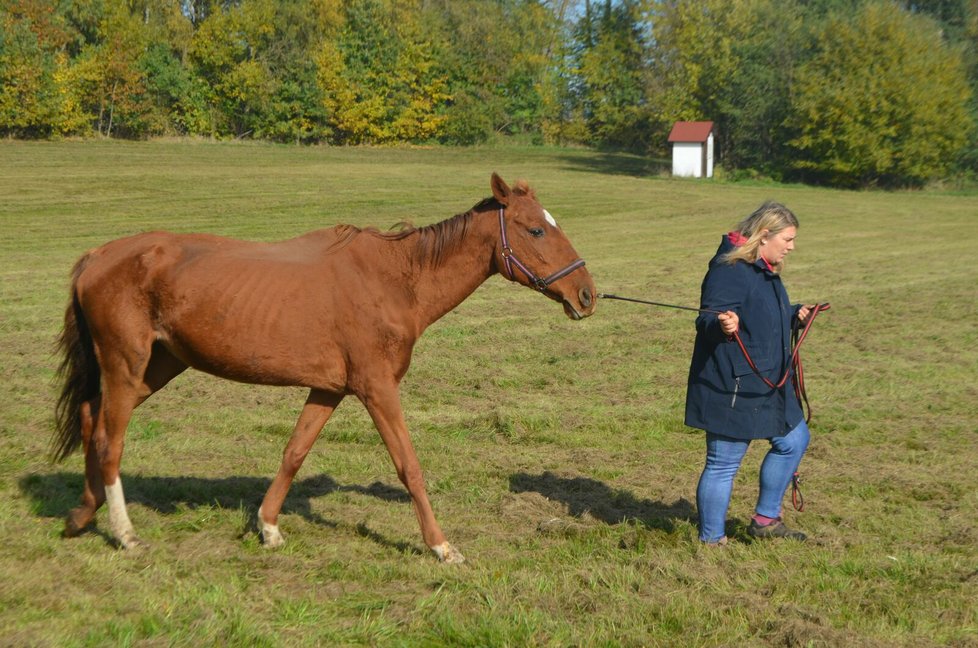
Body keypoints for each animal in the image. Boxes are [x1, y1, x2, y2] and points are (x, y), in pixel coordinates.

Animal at [53, 173, 596, 560]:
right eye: (536, 229)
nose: (587, 294)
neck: (394, 280)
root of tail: (97, 256)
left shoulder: (330, 389)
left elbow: (294, 453)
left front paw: (268, 526)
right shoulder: (378, 389)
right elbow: (409, 466)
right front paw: (441, 545)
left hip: (156, 367)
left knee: (90, 421)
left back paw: (82, 515)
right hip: (126, 367)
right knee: (109, 440)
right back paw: (124, 533)